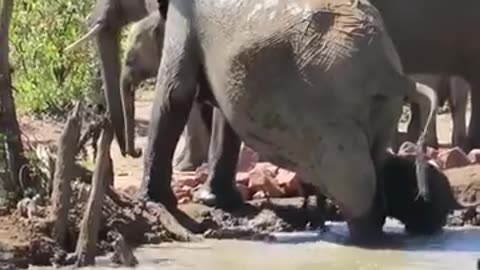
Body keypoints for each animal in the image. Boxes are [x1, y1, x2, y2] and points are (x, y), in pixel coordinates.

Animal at [135, 0, 438, 243]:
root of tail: (392, 73)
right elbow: (221, 115)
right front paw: (218, 202)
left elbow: (175, 93)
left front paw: (154, 203)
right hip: (383, 107)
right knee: (374, 159)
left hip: (330, 108)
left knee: (354, 176)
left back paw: (365, 240)